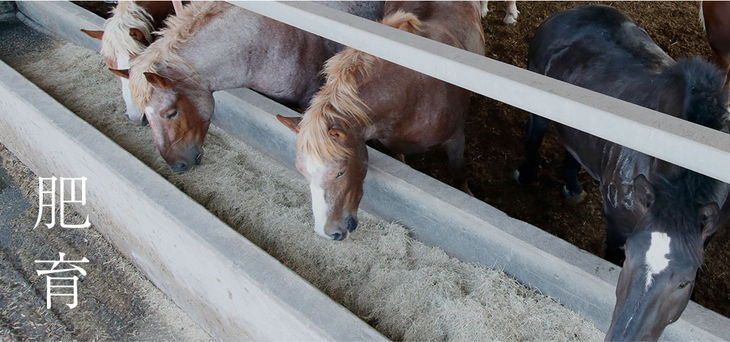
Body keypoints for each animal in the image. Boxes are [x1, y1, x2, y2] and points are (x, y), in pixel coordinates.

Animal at [272, 0, 484, 240]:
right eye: (301, 170)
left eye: (340, 172)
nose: (328, 233)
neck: (413, 94)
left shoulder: (456, 139)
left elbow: (458, 175)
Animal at [512, 6, 728, 342]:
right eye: (629, 259)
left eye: (684, 282)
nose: (625, 336)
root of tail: (563, 14)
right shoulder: (617, 226)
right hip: (539, 108)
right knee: (534, 137)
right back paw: (525, 175)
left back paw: (573, 187)